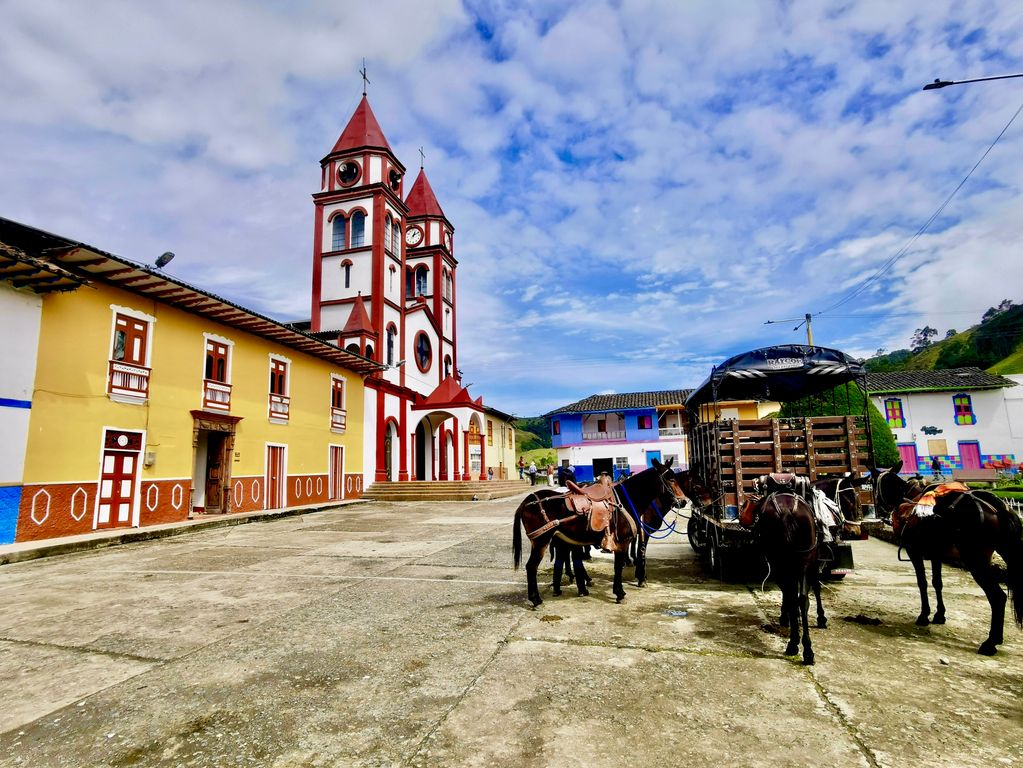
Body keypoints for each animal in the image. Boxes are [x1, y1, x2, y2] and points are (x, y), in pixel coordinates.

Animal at [515, 456, 683, 605]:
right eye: (670, 479)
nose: (682, 501)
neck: (625, 501)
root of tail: (526, 502)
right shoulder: (623, 542)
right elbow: (618, 566)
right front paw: (620, 592)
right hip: (541, 541)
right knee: (531, 567)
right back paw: (536, 599)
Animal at [740, 492, 818, 666]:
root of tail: (787, 511)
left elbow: (787, 593)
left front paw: (785, 617)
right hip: (804, 559)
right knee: (802, 598)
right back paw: (807, 650)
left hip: (780, 560)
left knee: (794, 596)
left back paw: (794, 645)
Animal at [871, 460, 1023, 658]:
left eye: (873, 484)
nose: (880, 511)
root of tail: (996, 506)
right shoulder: (936, 552)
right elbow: (937, 582)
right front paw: (939, 615)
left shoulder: (914, 551)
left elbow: (922, 582)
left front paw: (924, 615)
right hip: (1005, 549)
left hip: (975, 557)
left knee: (998, 597)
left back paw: (990, 642)